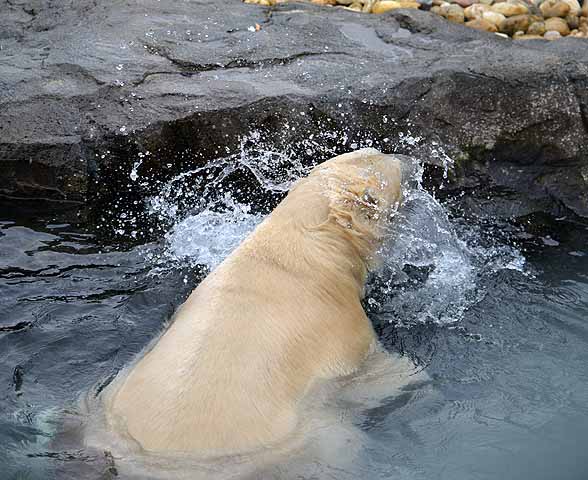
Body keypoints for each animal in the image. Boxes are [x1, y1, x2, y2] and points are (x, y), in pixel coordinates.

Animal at [97, 148, 418, 464]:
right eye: (391, 166)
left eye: (374, 151)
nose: (412, 161)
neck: (307, 250)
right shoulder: (343, 332)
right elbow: (377, 374)